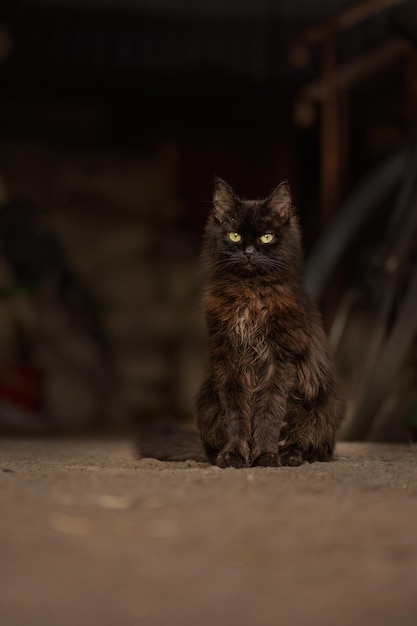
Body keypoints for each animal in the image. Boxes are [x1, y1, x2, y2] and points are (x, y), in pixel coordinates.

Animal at [197, 178, 342, 466]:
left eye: (267, 237)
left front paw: (265, 455)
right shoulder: (229, 358)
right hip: (206, 403)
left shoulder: (281, 358)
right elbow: (236, 414)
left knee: (314, 445)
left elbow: (269, 412)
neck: (250, 295)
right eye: (235, 236)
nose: (249, 253)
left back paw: (289, 454)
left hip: (324, 405)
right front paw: (234, 454)